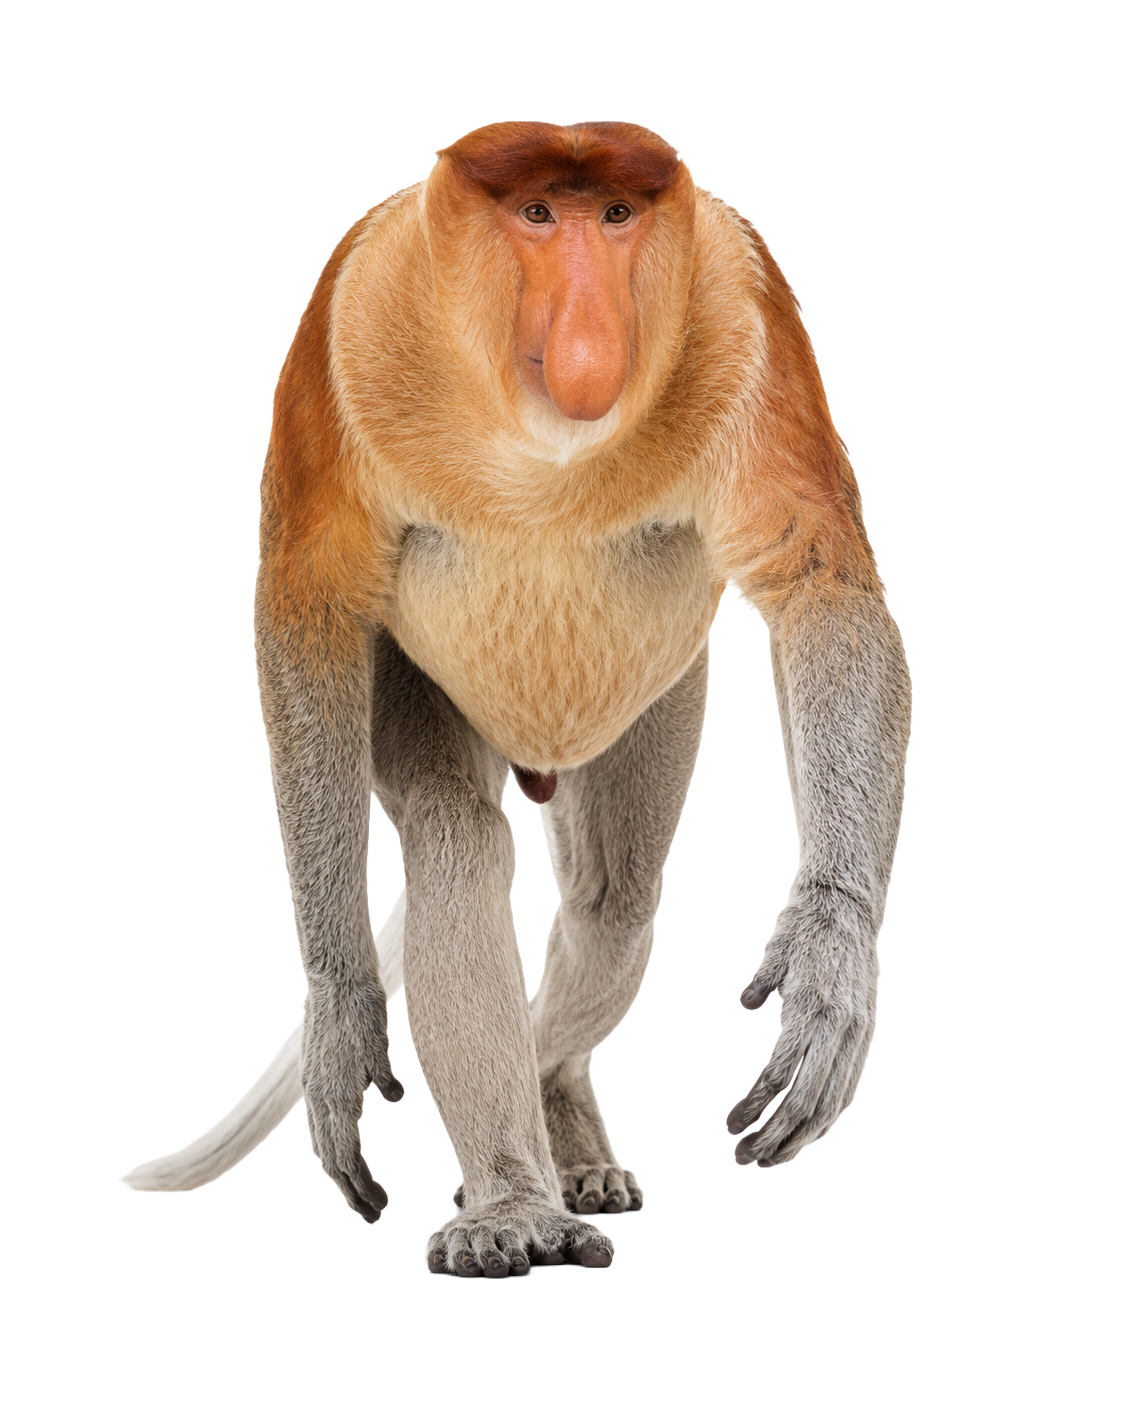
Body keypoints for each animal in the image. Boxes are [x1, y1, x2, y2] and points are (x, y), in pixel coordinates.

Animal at [122, 121, 911, 1278]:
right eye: (537, 213)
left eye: (616, 215)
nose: (589, 332)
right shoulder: (352, 311)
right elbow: (306, 607)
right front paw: (342, 1021)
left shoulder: (743, 302)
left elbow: (822, 587)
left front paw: (829, 969)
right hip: (417, 681)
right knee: (458, 835)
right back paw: (512, 1200)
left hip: (649, 707)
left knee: (612, 905)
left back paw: (558, 1121)